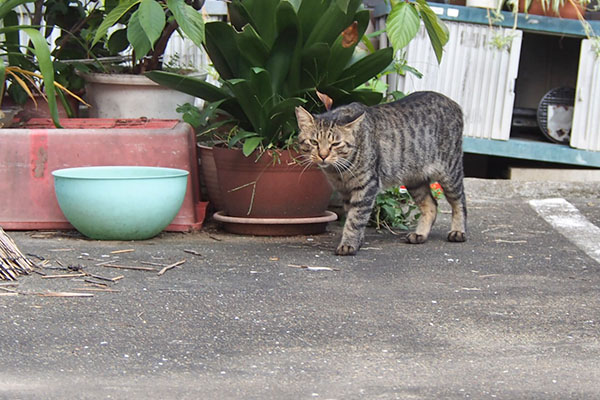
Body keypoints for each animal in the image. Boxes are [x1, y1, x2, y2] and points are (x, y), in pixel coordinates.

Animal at [294, 90, 464, 255]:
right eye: (313, 142)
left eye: (336, 144)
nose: (323, 155)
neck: (339, 172)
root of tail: (454, 103)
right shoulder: (345, 191)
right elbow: (351, 215)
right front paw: (358, 240)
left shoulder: (366, 185)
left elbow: (355, 219)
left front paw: (349, 244)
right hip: (415, 180)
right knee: (431, 205)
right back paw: (420, 234)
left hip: (450, 171)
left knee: (459, 201)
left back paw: (458, 231)